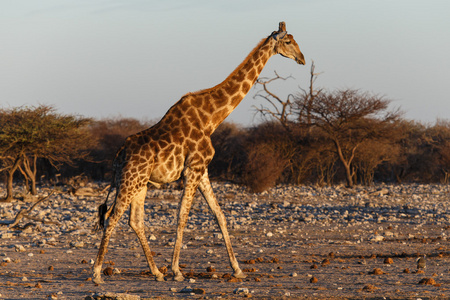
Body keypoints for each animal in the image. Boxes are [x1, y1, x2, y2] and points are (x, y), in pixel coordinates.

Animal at [93, 21, 306, 284]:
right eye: (288, 41)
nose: (302, 58)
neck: (211, 118)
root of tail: (118, 156)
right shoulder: (192, 169)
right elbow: (182, 216)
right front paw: (177, 271)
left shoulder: (203, 170)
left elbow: (219, 214)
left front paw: (237, 269)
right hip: (130, 180)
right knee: (112, 217)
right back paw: (97, 274)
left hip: (140, 183)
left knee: (134, 221)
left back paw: (156, 272)